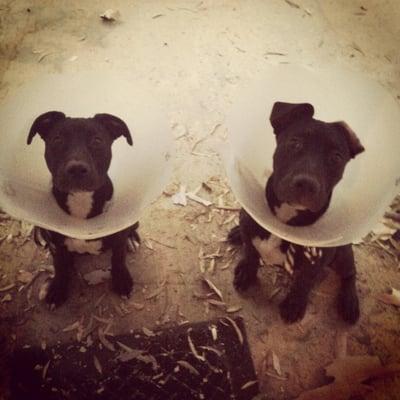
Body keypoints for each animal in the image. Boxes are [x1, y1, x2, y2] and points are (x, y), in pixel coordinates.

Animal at [27, 111, 139, 308]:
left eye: (97, 140)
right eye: (57, 140)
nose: (77, 168)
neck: (81, 199)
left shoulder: (118, 237)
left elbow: (118, 258)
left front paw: (121, 281)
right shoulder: (56, 245)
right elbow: (59, 264)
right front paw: (58, 288)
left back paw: (131, 240)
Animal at [227, 101, 364, 324]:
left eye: (336, 157)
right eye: (295, 143)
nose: (307, 183)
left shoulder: (315, 263)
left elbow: (303, 282)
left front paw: (294, 304)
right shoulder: (250, 225)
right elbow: (250, 253)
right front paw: (247, 272)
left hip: (342, 254)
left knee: (350, 273)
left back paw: (350, 302)